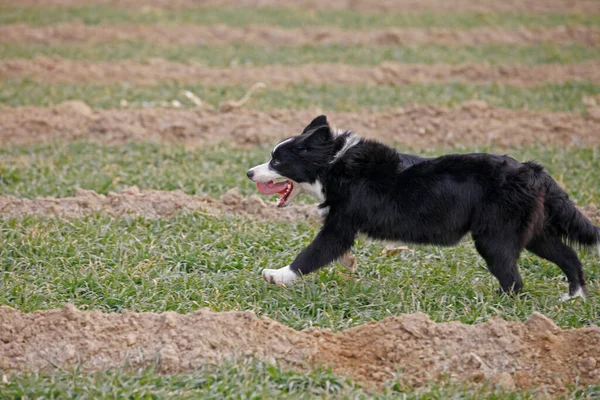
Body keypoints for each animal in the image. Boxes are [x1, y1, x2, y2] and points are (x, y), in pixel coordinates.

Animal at [246, 115, 596, 296]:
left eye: (277, 161)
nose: (249, 173)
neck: (333, 163)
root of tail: (532, 171)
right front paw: (348, 264)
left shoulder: (341, 225)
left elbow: (312, 253)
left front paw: (277, 275)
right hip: (532, 230)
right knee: (568, 255)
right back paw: (573, 297)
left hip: (494, 238)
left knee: (514, 279)